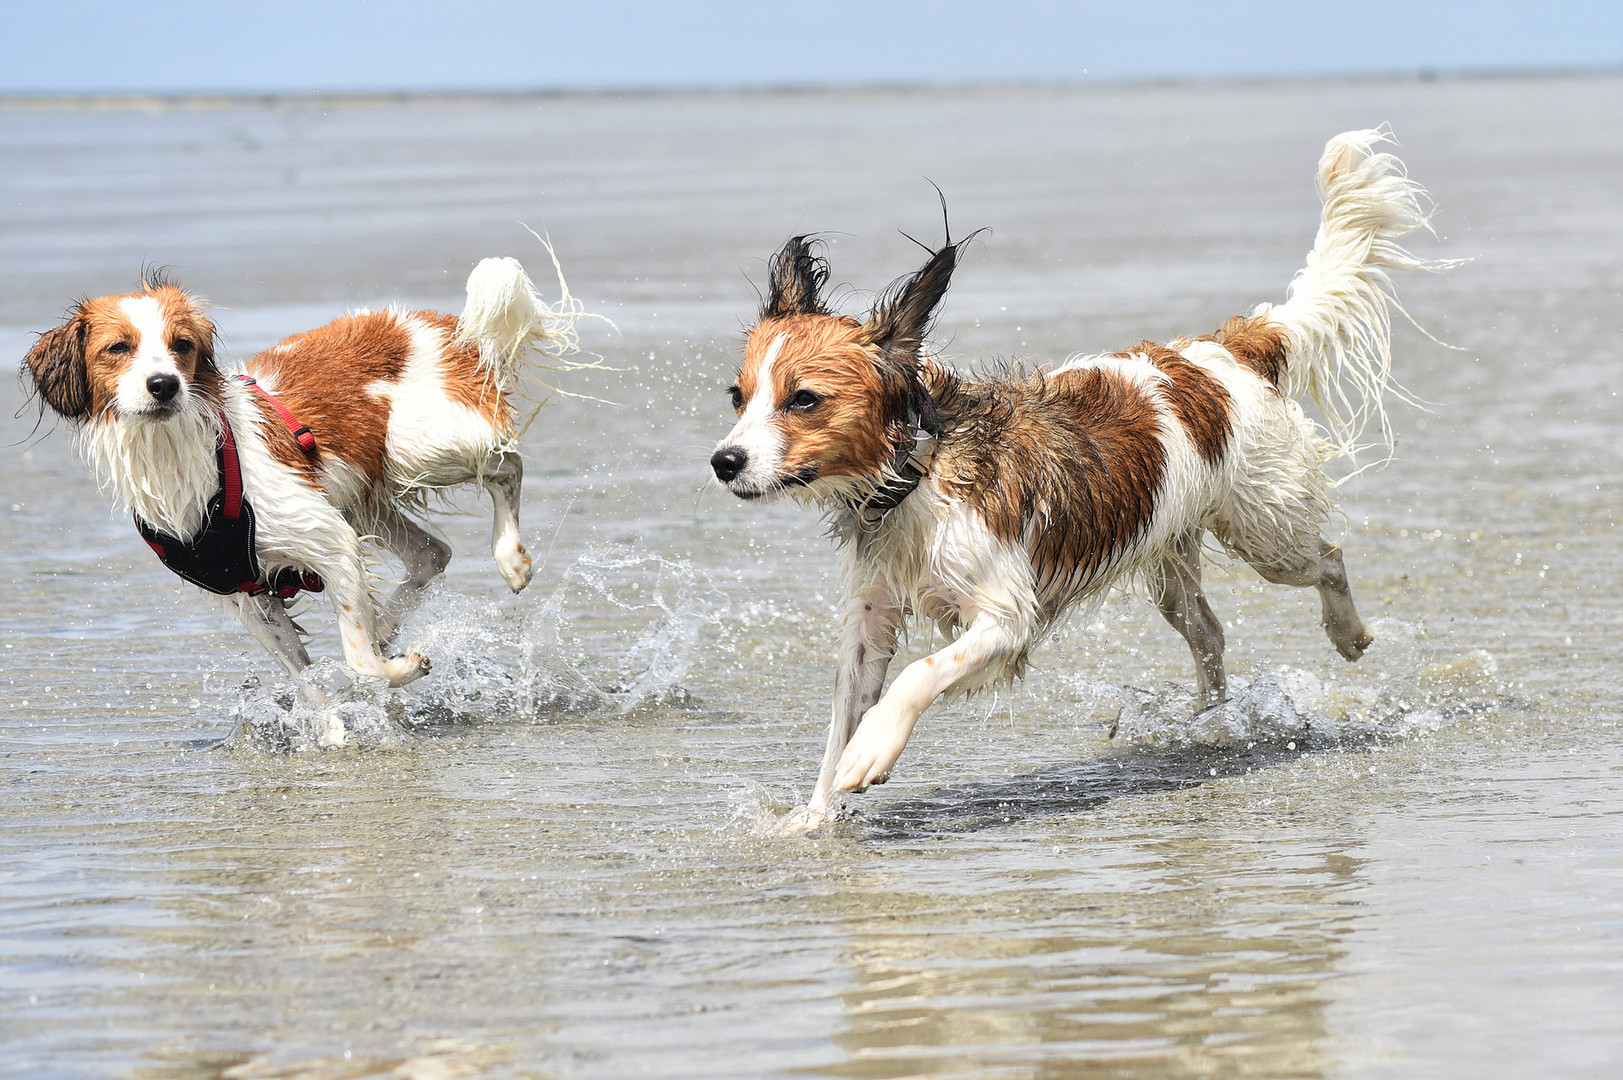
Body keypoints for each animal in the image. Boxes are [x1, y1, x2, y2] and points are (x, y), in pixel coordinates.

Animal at [25, 253, 587, 740]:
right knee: (432, 552)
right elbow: (309, 680)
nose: (163, 384)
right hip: (366, 494)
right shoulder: (249, 594)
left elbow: (359, 665)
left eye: (181, 344)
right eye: (118, 348)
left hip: (422, 448)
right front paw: (333, 730)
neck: (189, 459)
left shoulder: (329, 539)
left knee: (506, 466)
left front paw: (398, 670)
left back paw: (510, 558)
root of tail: (446, 325)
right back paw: (387, 627)